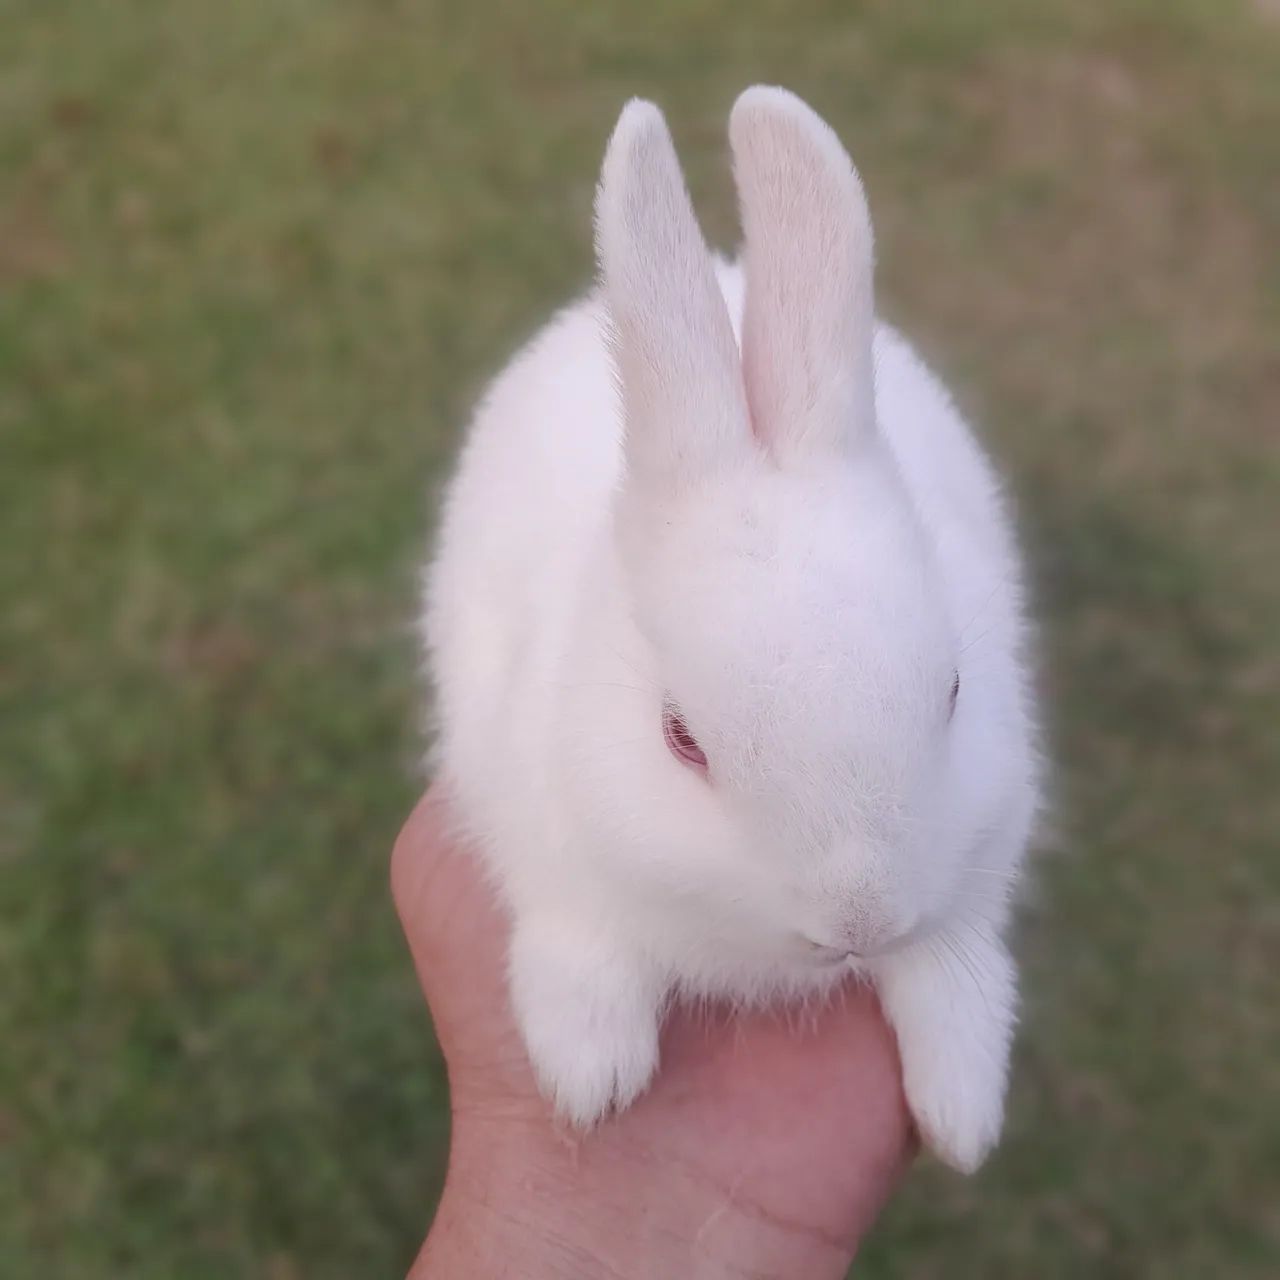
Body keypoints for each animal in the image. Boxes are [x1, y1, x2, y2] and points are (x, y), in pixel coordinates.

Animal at [423, 86, 1040, 1174]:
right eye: (680, 739)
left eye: (956, 694)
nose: (854, 920)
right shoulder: (550, 856)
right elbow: (579, 957)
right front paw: (591, 1081)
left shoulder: (979, 857)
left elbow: (954, 979)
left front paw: (960, 1117)